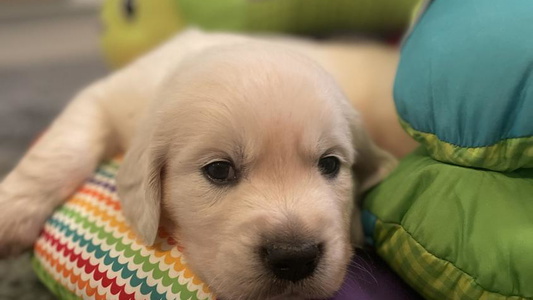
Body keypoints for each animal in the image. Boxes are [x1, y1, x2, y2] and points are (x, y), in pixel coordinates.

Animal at [0, 28, 402, 300]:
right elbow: (63, 147)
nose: (295, 257)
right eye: (219, 170)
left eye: (330, 164)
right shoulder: (109, 95)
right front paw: (11, 214)